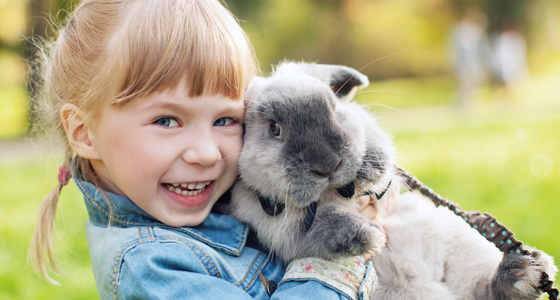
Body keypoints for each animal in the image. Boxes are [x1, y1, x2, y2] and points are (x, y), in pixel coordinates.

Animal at [230, 61, 556, 300]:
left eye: (334, 107)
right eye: (274, 129)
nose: (328, 164)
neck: (335, 191)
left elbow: (378, 149)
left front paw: (367, 171)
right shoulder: (280, 229)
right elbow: (323, 227)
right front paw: (369, 237)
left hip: (460, 245)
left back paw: (524, 272)